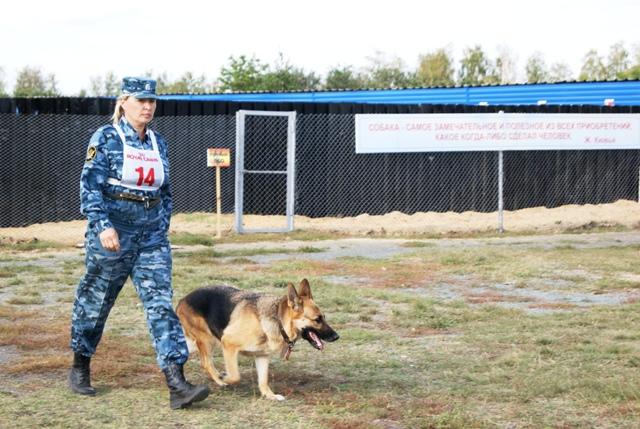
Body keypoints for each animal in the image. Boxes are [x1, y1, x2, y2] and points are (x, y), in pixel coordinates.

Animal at [172, 280, 338, 400]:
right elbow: (235, 376)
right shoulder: (228, 343)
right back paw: (220, 381)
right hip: (207, 340)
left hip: (195, 343)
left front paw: (270, 396)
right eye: (317, 320)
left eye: (324, 317)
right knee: (206, 363)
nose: (337, 336)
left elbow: (263, 381)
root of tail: (182, 300)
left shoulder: (262, 356)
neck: (278, 321)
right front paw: (225, 378)